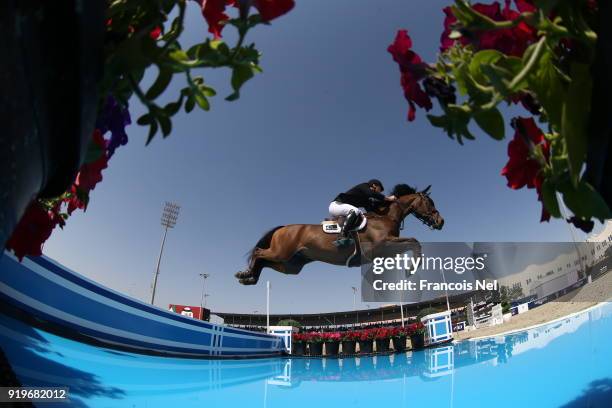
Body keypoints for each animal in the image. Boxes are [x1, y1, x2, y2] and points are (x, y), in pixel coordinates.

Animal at [235, 183, 444, 286]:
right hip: (281, 253)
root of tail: (283, 227)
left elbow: (412, 243)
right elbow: (415, 242)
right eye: (430, 202)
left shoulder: (386, 251)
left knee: (264, 261)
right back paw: (246, 274)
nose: (441, 222)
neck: (385, 217)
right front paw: (411, 269)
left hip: (290, 265)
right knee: (258, 253)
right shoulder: (382, 245)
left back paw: (249, 278)